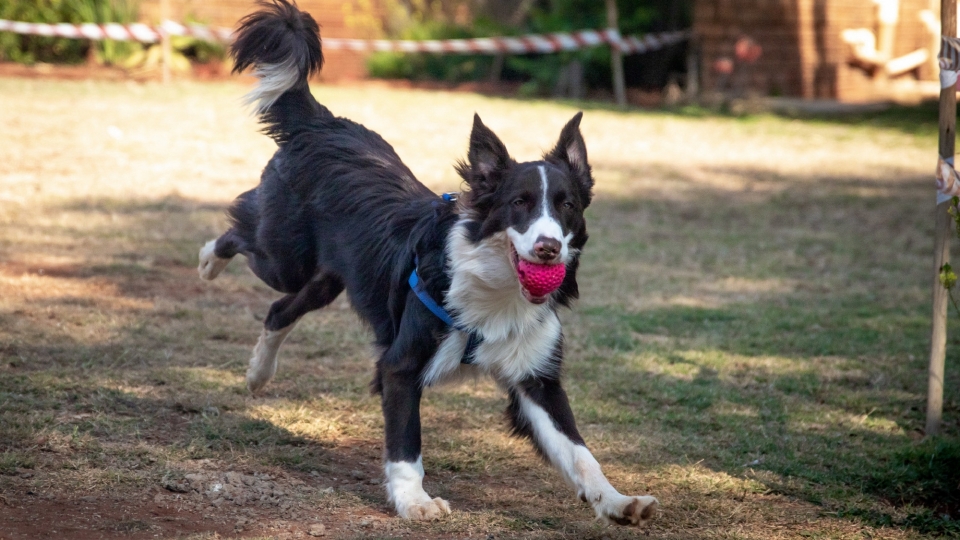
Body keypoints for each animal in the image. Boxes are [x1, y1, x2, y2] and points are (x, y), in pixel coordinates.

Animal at [198, 0, 656, 524]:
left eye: (567, 206)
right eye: (518, 203)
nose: (548, 249)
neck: (496, 290)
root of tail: (322, 123)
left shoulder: (535, 379)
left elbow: (580, 453)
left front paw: (617, 501)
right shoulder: (401, 364)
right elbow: (406, 444)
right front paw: (413, 500)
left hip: (328, 278)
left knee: (280, 309)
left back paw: (258, 375)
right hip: (284, 255)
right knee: (240, 233)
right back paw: (208, 262)